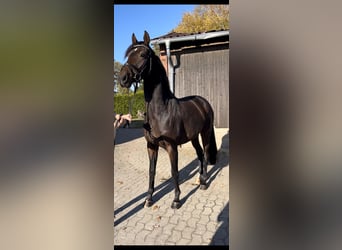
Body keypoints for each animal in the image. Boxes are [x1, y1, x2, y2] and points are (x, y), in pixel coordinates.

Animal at [119, 29, 218, 209]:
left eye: (143, 54)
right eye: (128, 55)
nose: (123, 78)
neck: (161, 111)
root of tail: (203, 102)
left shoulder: (172, 147)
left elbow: (174, 171)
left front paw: (176, 199)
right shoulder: (151, 146)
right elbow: (152, 170)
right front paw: (149, 198)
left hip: (206, 132)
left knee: (206, 153)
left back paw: (204, 183)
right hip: (193, 137)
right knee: (200, 154)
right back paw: (200, 179)